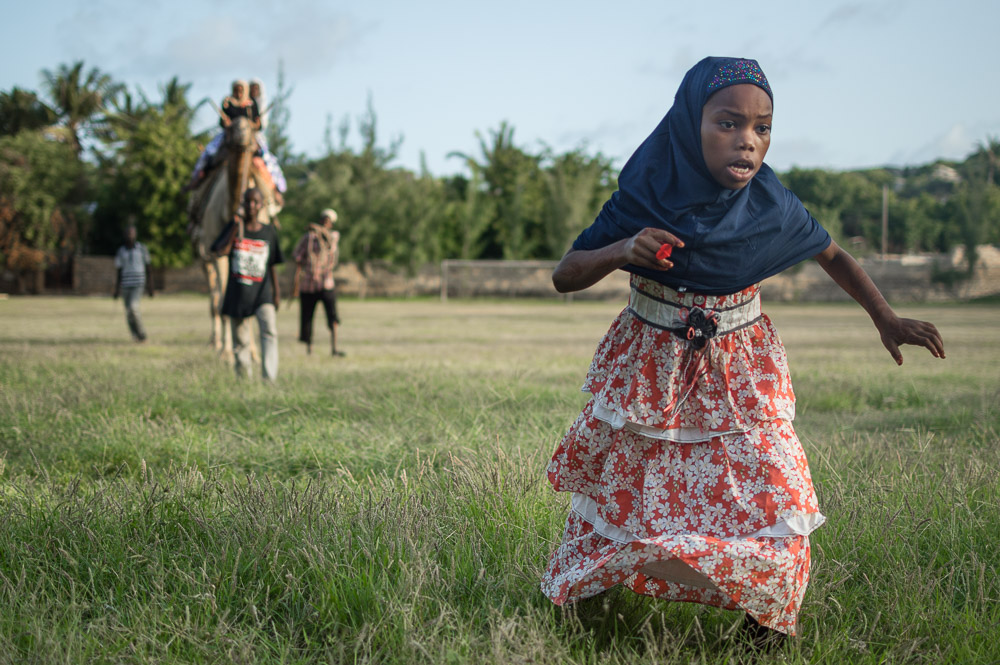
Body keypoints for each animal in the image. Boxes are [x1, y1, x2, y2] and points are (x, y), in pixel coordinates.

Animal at [187, 116, 282, 360]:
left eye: (251, 123)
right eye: (230, 125)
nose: (241, 130)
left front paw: (254, 354)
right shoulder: (216, 253)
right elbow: (222, 302)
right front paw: (227, 353)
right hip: (203, 259)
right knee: (213, 298)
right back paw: (215, 343)